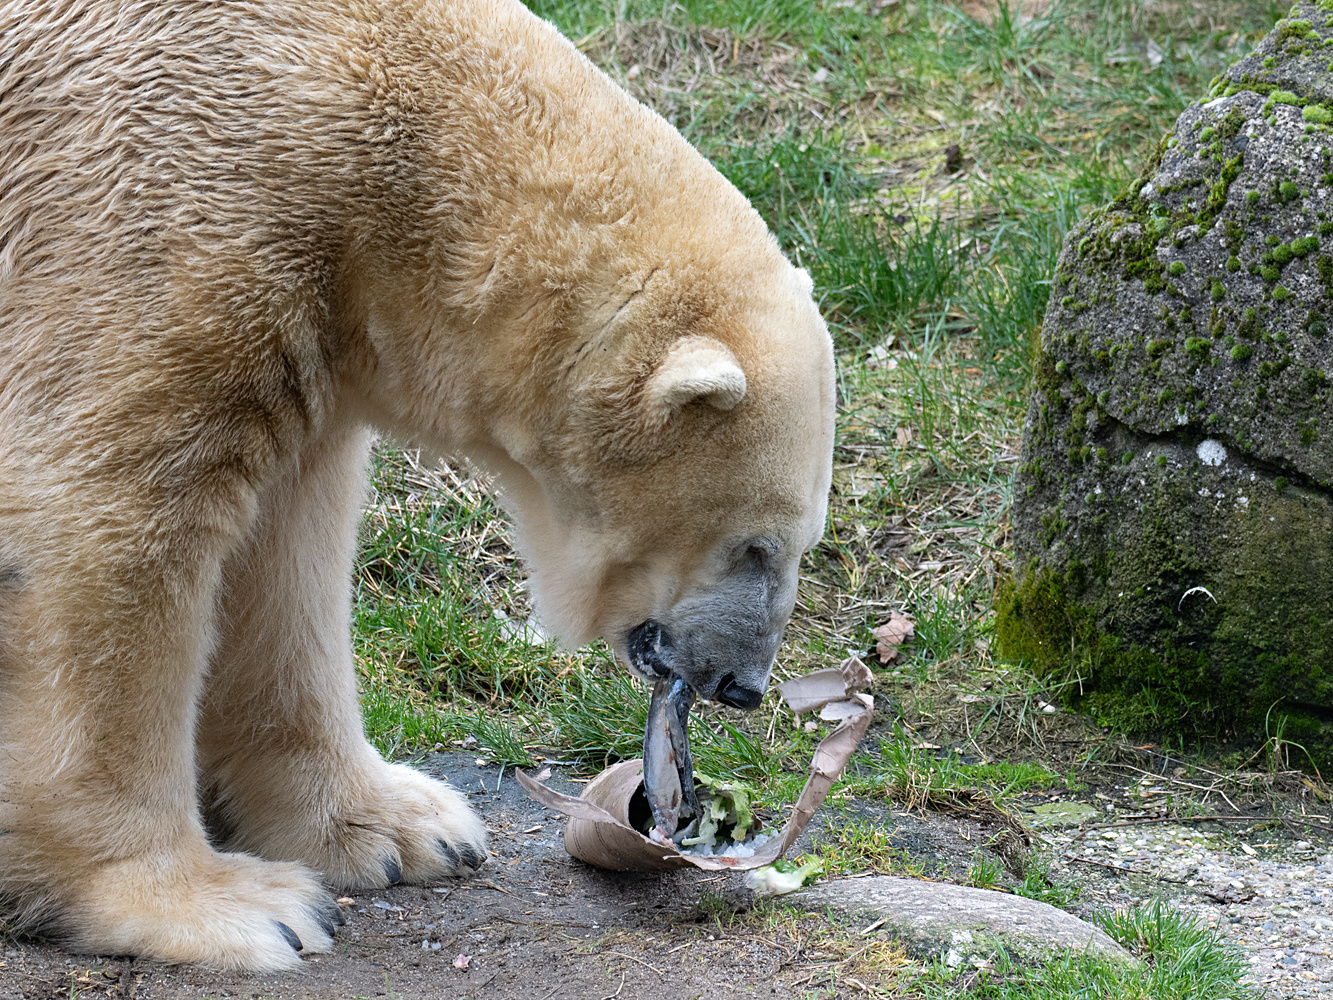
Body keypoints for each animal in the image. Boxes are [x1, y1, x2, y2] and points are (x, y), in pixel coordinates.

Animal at [0, 0, 831, 976]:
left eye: (801, 541)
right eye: (754, 544)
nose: (742, 685)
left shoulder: (301, 323)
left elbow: (286, 549)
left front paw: (400, 829)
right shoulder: (152, 227)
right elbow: (100, 529)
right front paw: (224, 905)